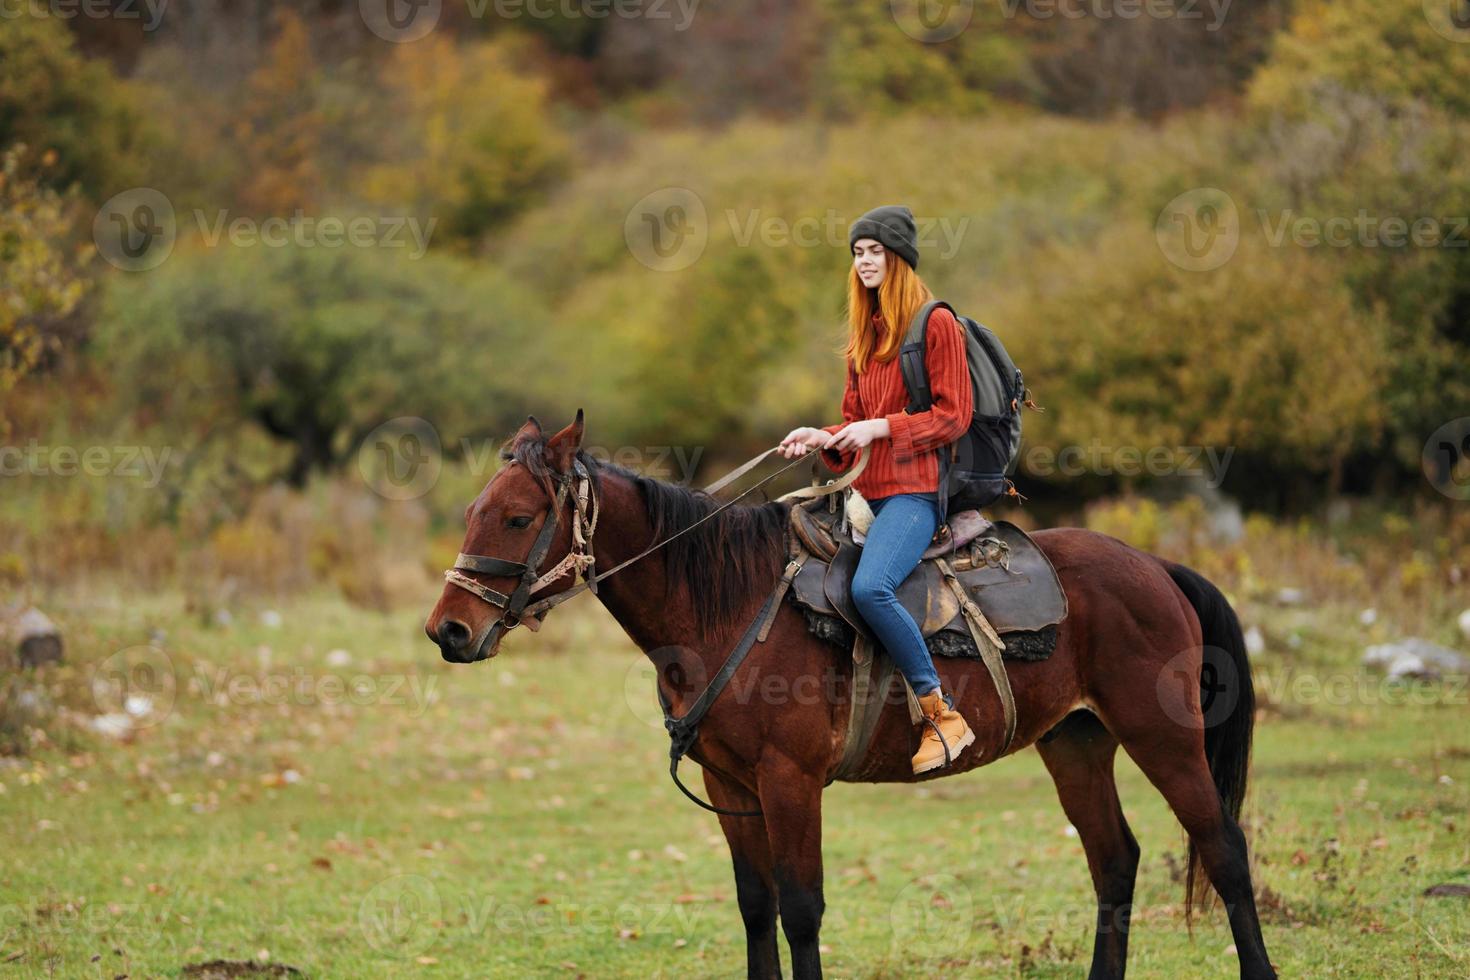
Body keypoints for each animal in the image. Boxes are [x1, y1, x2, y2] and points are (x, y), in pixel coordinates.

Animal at [423, 414, 1275, 980]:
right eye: (471, 512)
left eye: (518, 517)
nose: (448, 630)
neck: (727, 606)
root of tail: (1157, 567)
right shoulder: (728, 783)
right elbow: (757, 906)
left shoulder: (790, 781)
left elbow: (802, 909)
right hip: (1076, 741)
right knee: (1115, 861)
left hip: (1161, 738)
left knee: (1224, 851)